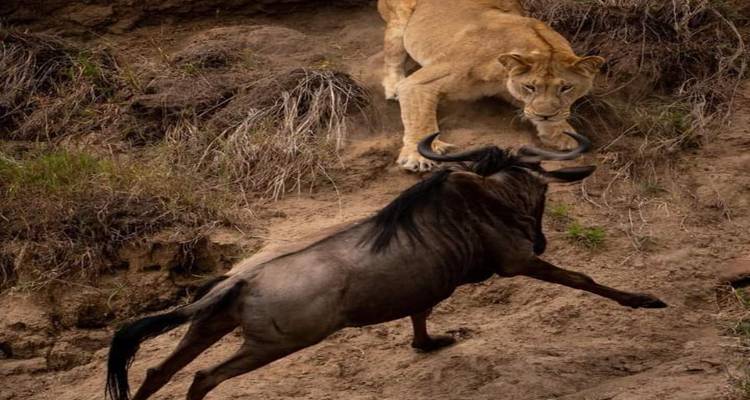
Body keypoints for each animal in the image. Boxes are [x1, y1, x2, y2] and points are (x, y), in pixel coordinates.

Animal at [378, 0, 605, 171]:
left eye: (566, 88)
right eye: (530, 87)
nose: (545, 116)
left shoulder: (511, 92)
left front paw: (562, 132)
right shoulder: (419, 83)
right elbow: (421, 120)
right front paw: (418, 156)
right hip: (399, 21)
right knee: (392, 56)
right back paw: (393, 86)